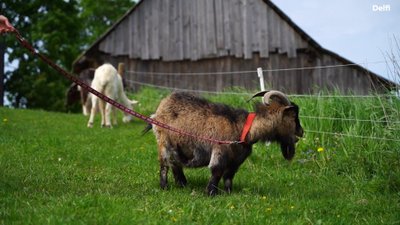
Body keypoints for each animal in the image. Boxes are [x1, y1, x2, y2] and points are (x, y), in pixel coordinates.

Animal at [147, 90, 304, 196]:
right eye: (293, 115)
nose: (301, 132)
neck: (242, 128)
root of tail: (161, 106)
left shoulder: (236, 160)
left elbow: (229, 176)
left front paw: (228, 192)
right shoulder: (220, 151)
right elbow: (217, 171)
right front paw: (211, 193)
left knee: (175, 164)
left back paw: (182, 184)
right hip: (163, 142)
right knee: (164, 164)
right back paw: (165, 187)